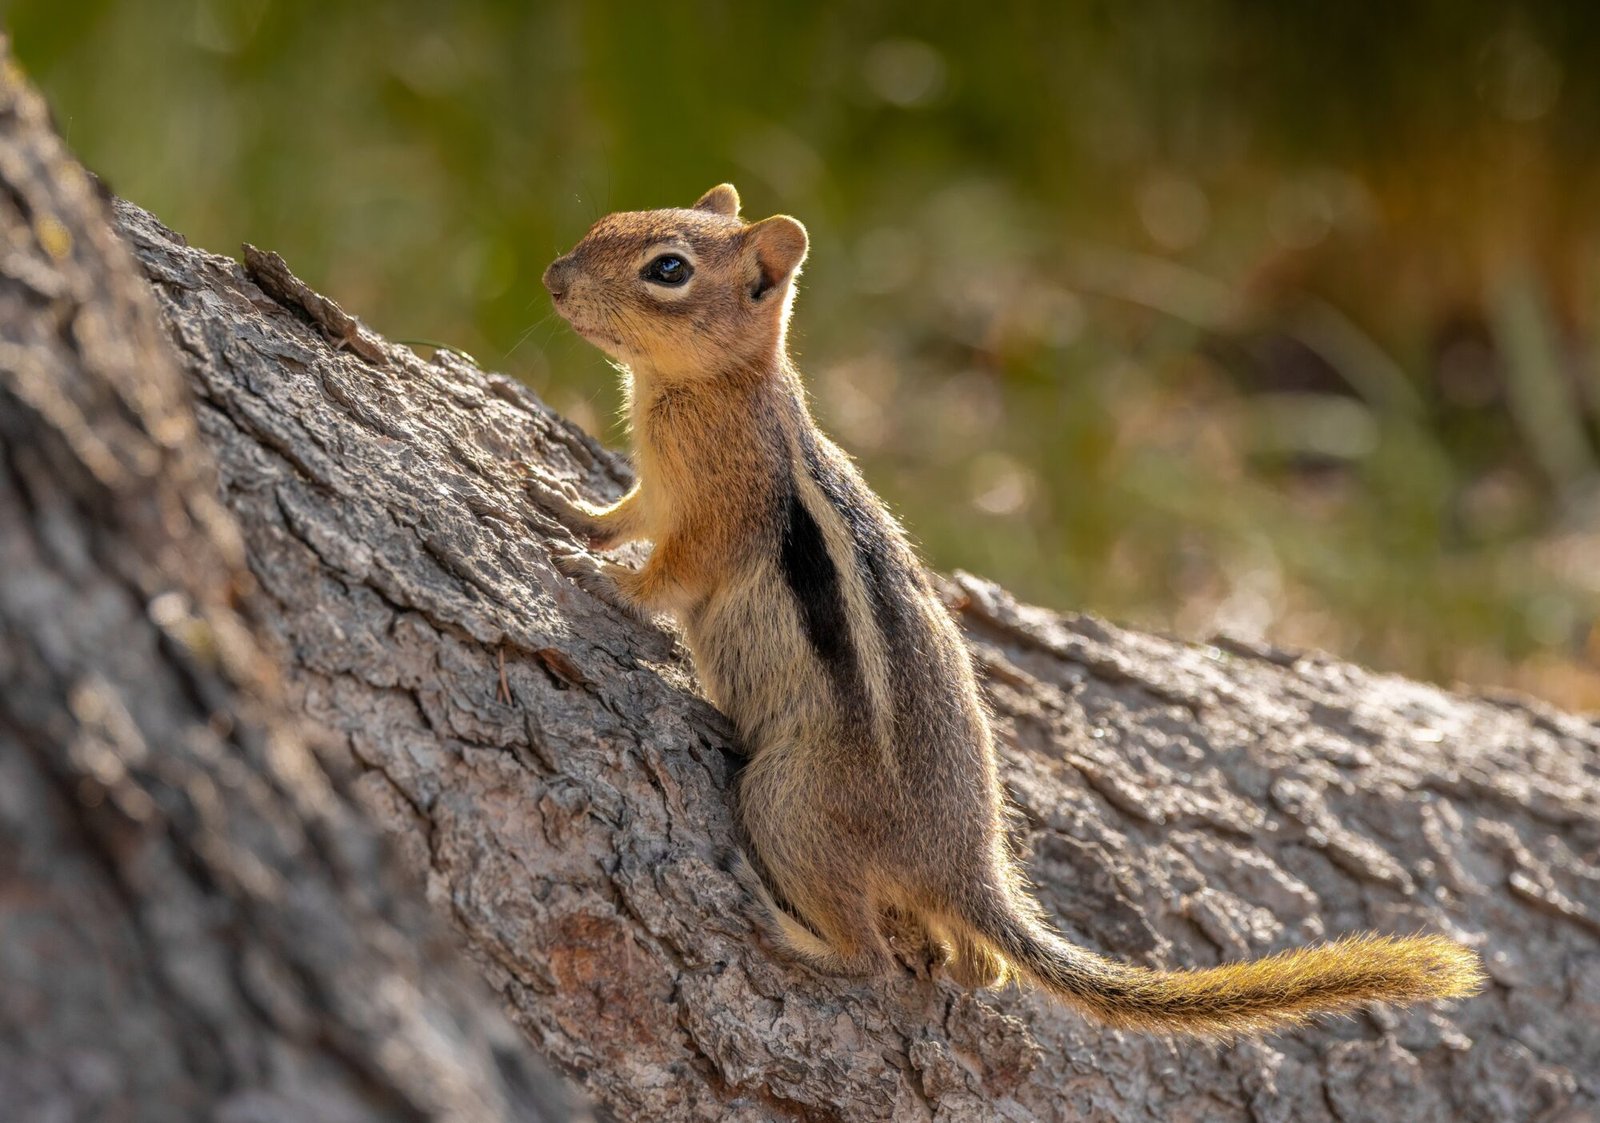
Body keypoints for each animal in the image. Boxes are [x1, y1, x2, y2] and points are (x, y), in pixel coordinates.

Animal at [529, 183, 1484, 1036]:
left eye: (667, 268)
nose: (552, 277)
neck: (710, 388)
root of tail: (964, 866)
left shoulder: (719, 509)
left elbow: (671, 573)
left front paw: (597, 577)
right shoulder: (657, 488)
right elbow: (625, 514)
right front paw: (565, 506)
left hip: (787, 798)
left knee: (871, 959)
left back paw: (779, 926)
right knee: (974, 968)